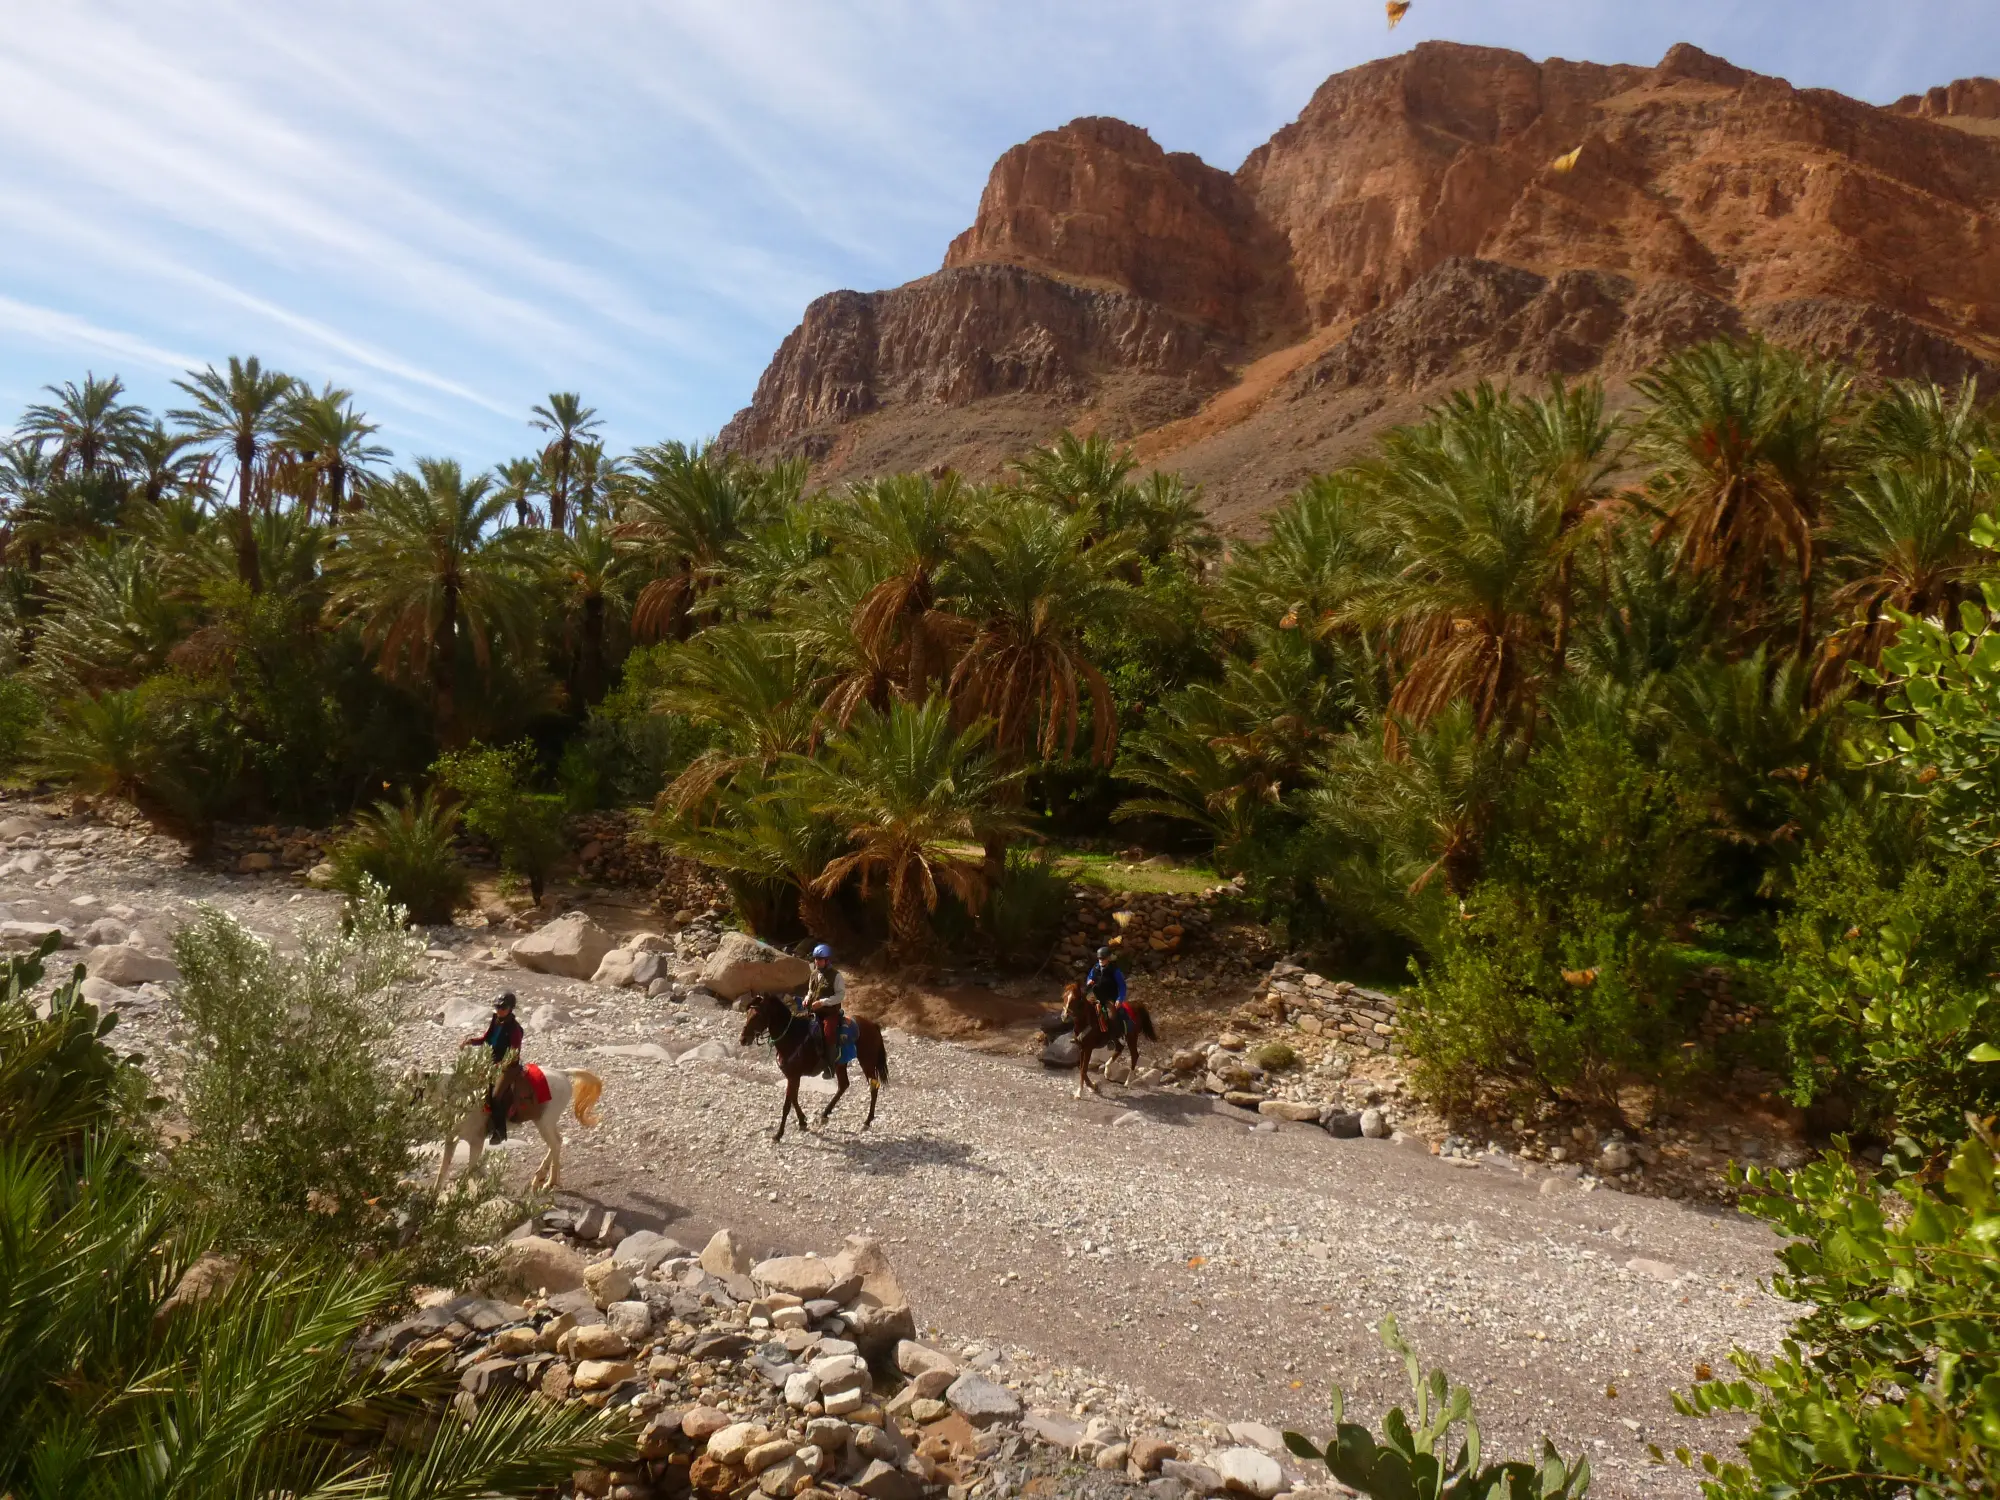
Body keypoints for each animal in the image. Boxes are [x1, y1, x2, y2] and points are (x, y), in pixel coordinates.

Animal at [429, 1065, 604, 1194]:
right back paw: (540, 1179)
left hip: (544, 1122)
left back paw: (548, 1182)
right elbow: (445, 1169)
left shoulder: (476, 1141)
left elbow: (471, 1170)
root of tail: (562, 1073)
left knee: (555, 1143)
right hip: (545, 1123)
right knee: (557, 1142)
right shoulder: (452, 1140)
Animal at [739, 992, 889, 1141]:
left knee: (873, 1087)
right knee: (844, 1085)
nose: (743, 1040)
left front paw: (779, 1134)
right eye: (747, 1014)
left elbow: (787, 1105)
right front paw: (802, 1121)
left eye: (757, 1015)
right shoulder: (792, 1077)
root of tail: (872, 1025)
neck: (792, 1037)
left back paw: (867, 1121)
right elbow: (794, 1098)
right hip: (841, 1064)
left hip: (867, 1062)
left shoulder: (793, 1077)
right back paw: (825, 1114)